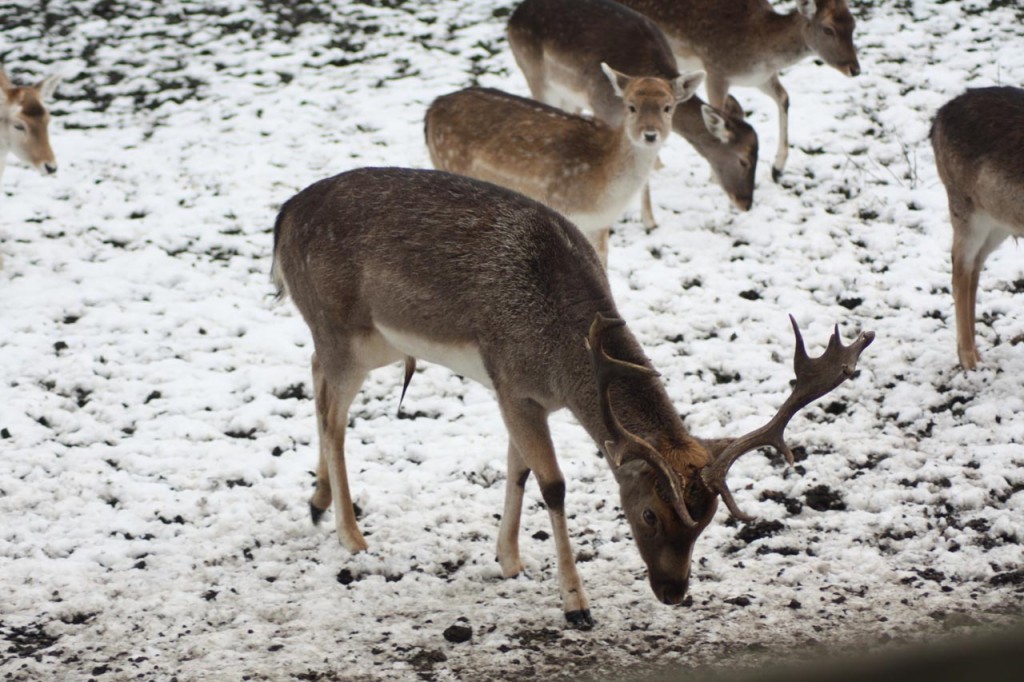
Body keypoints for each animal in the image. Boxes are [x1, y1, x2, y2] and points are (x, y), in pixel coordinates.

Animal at [270, 165, 872, 626]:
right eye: (649, 514)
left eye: (705, 523)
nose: (674, 592)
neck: (560, 355)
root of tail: (281, 219)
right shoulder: (513, 382)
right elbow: (554, 485)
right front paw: (576, 604)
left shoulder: (516, 394)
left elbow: (517, 468)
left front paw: (508, 558)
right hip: (345, 331)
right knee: (332, 413)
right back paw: (351, 534)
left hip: (374, 344)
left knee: (314, 376)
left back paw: (318, 501)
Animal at [419, 64, 700, 266]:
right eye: (631, 107)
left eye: (668, 107)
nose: (650, 134)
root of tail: (431, 109)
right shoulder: (563, 210)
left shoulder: (600, 224)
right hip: (449, 161)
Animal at [507, 0, 757, 228]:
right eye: (743, 160)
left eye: (757, 155)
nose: (746, 204)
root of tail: (513, 17)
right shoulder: (605, 112)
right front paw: (649, 222)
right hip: (535, 75)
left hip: (568, 96)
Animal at [614, 0, 864, 183]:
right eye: (828, 29)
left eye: (853, 24)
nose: (855, 69)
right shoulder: (715, 70)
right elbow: (716, 112)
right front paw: (715, 177)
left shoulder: (762, 78)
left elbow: (784, 98)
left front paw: (778, 168)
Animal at [933, 89, 1024, 372]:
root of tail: (938, 117)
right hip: (966, 211)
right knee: (960, 270)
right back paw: (969, 360)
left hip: (998, 222)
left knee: (975, 267)